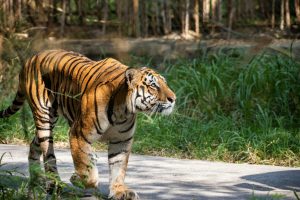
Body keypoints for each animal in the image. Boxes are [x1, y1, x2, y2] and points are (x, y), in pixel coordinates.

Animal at [0, 49, 176, 199]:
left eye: (165, 83)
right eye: (153, 85)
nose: (173, 98)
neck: (123, 110)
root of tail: (31, 58)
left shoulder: (121, 141)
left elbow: (118, 168)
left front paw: (120, 191)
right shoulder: (78, 135)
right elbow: (86, 167)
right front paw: (78, 180)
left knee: (33, 145)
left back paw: (36, 180)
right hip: (44, 117)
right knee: (48, 153)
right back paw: (54, 184)